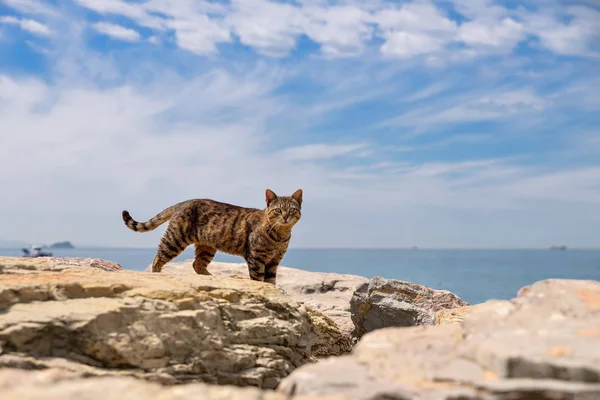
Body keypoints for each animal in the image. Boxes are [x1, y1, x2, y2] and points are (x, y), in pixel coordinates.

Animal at [122, 188, 302, 284]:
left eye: (292, 210)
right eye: (278, 210)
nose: (285, 217)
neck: (281, 235)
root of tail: (184, 202)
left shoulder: (274, 261)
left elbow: (271, 281)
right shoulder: (256, 258)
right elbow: (258, 279)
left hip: (207, 247)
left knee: (197, 264)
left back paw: (211, 277)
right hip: (175, 239)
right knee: (157, 258)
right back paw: (158, 274)